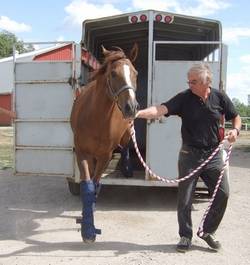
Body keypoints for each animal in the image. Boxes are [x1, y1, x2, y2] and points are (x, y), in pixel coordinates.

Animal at [70, 44, 139, 242]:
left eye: (135, 73)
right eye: (113, 74)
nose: (131, 107)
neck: (96, 118)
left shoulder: (105, 156)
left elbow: (95, 185)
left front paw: (89, 226)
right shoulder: (82, 153)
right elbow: (87, 185)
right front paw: (87, 228)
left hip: (126, 134)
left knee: (126, 147)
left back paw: (127, 168)